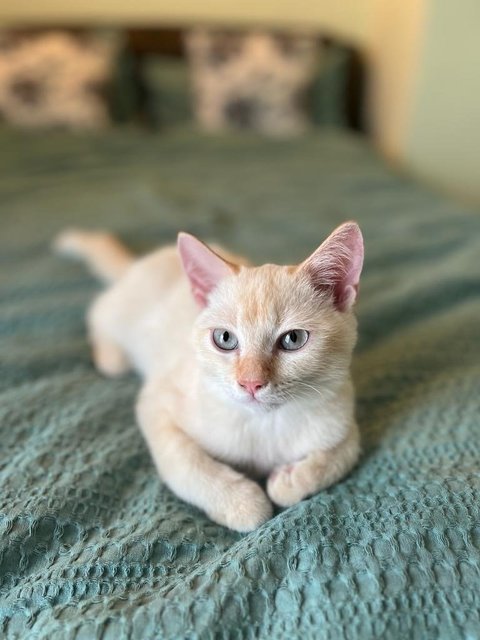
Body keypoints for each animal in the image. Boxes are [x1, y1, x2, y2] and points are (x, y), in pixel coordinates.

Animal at [54, 222, 362, 532]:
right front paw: (243, 504)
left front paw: (288, 480)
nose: (250, 383)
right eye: (224, 338)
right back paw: (111, 356)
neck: (263, 426)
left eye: (293, 339)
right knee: (97, 313)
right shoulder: (156, 404)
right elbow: (186, 463)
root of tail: (142, 262)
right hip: (120, 315)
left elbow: (340, 456)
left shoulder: (343, 421)